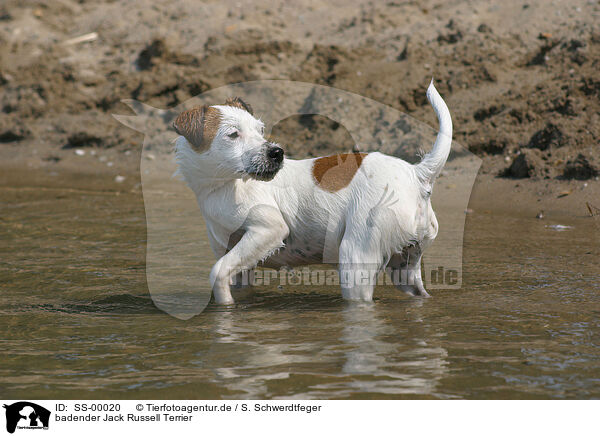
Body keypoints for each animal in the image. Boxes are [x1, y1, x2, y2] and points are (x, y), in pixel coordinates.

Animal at [171, 82, 452, 304]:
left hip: (355, 260)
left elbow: (217, 272)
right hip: (404, 268)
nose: (276, 153)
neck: (224, 185)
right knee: (418, 292)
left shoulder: (268, 230)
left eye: (260, 130)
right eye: (232, 134)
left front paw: (224, 306)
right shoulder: (235, 258)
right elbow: (231, 275)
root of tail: (416, 173)